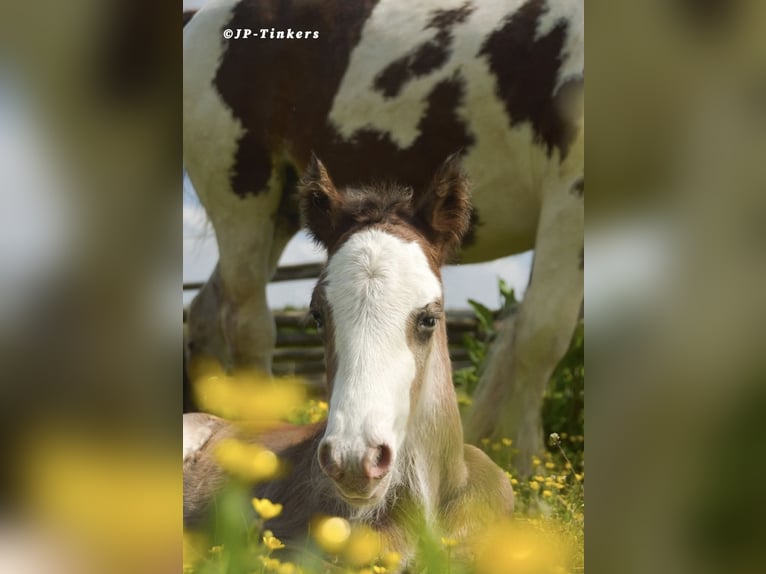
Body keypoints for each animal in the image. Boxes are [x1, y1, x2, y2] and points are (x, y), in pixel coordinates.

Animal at [184, 0, 584, 472]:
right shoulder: (569, 193)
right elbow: (541, 337)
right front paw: (526, 467)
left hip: (281, 212)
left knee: (206, 313)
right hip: (243, 196)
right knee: (246, 323)